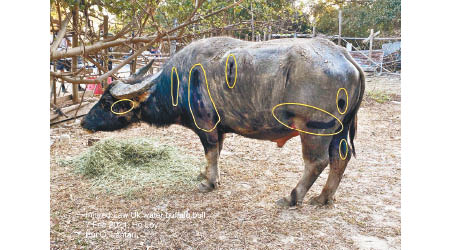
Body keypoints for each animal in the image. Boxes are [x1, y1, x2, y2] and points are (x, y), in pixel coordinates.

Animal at [81, 36, 364, 206]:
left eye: (106, 103)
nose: (84, 122)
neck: (179, 83)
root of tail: (343, 54)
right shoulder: (220, 129)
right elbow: (216, 153)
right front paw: (205, 174)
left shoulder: (205, 126)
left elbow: (210, 151)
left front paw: (209, 182)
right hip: (339, 131)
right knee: (340, 159)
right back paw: (324, 198)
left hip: (314, 130)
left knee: (317, 162)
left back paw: (292, 197)